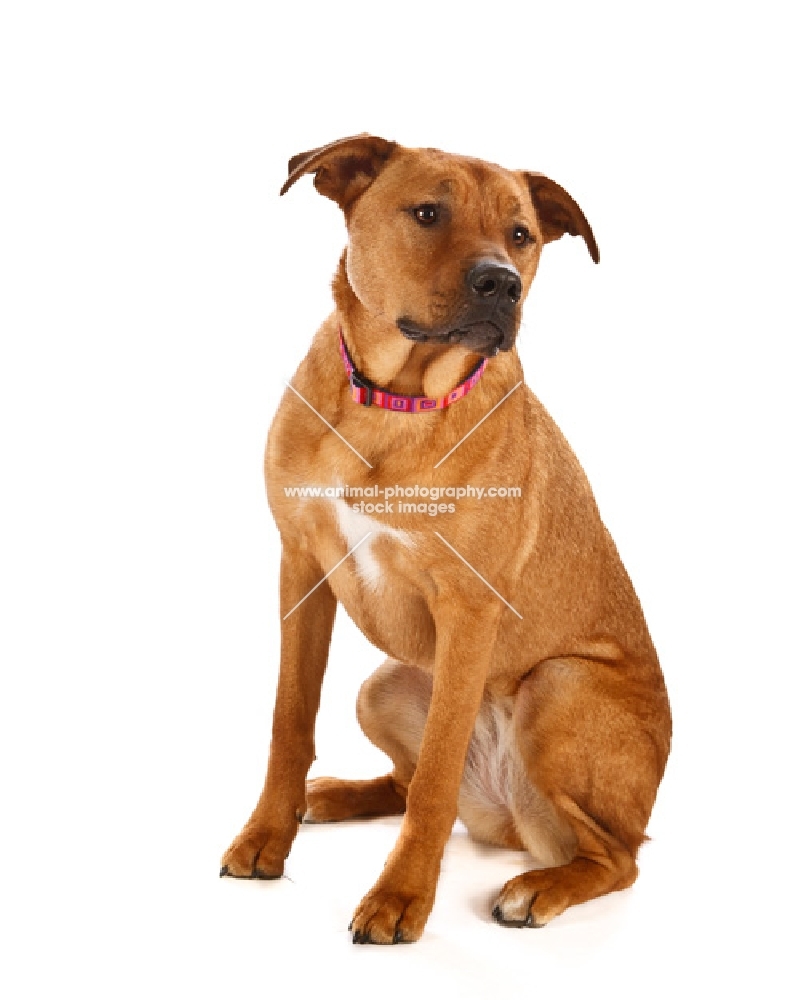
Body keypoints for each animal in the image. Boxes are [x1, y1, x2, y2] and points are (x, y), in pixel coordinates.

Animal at [220, 137, 676, 940]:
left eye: (522, 235)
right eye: (428, 213)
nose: (501, 284)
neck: (394, 403)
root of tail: (508, 819)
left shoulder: (468, 608)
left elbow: (436, 774)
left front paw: (401, 897)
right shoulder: (300, 567)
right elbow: (289, 720)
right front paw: (267, 834)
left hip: (558, 687)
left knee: (616, 857)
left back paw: (537, 888)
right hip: (382, 685)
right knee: (404, 784)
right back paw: (330, 795)